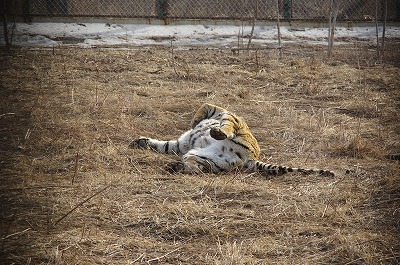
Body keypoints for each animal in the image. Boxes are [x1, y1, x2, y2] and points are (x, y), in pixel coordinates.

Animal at [129, 102, 334, 176]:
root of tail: (251, 158)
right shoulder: (182, 145)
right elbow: (165, 146)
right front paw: (139, 142)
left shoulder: (218, 109)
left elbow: (203, 105)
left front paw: (196, 122)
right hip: (207, 158)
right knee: (198, 168)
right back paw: (175, 167)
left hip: (236, 122)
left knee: (226, 128)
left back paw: (215, 133)